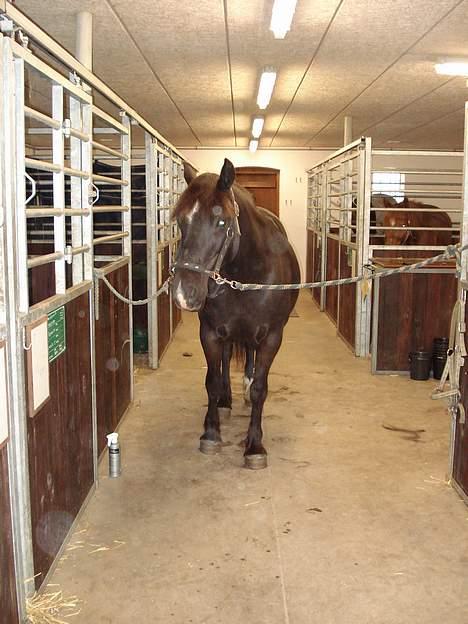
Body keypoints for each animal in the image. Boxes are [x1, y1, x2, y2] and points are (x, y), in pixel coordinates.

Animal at [172, 158, 300, 470]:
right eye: (181, 220)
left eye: (221, 222)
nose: (183, 292)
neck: (248, 272)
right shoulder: (210, 332)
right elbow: (212, 380)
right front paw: (211, 432)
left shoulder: (272, 337)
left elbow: (260, 389)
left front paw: (254, 446)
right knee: (228, 359)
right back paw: (227, 402)